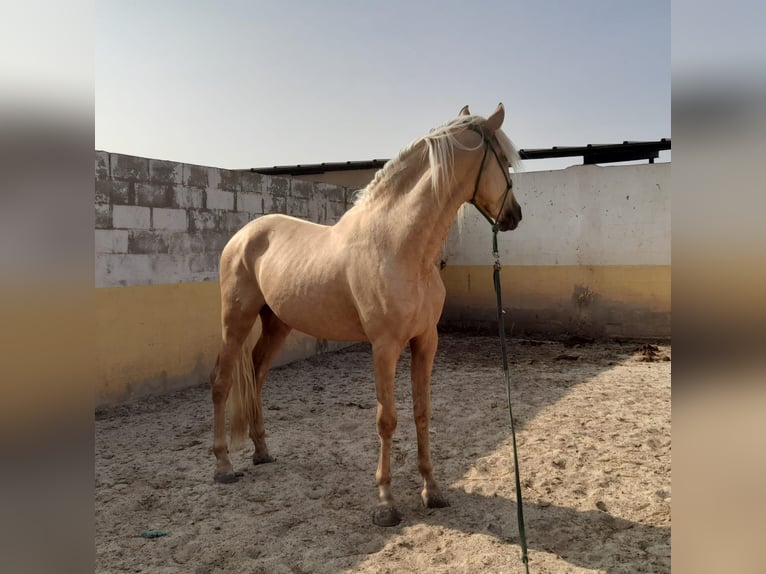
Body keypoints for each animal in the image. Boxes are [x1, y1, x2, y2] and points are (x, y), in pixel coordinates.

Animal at [208, 102, 520, 528]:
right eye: (504, 159)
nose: (514, 215)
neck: (400, 247)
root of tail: (242, 236)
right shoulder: (384, 347)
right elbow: (386, 419)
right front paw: (386, 502)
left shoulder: (427, 341)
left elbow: (422, 412)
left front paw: (432, 490)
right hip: (235, 320)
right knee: (222, 383)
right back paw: (224, 466)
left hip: (277, 324)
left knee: (255, 375)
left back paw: (261, 451)